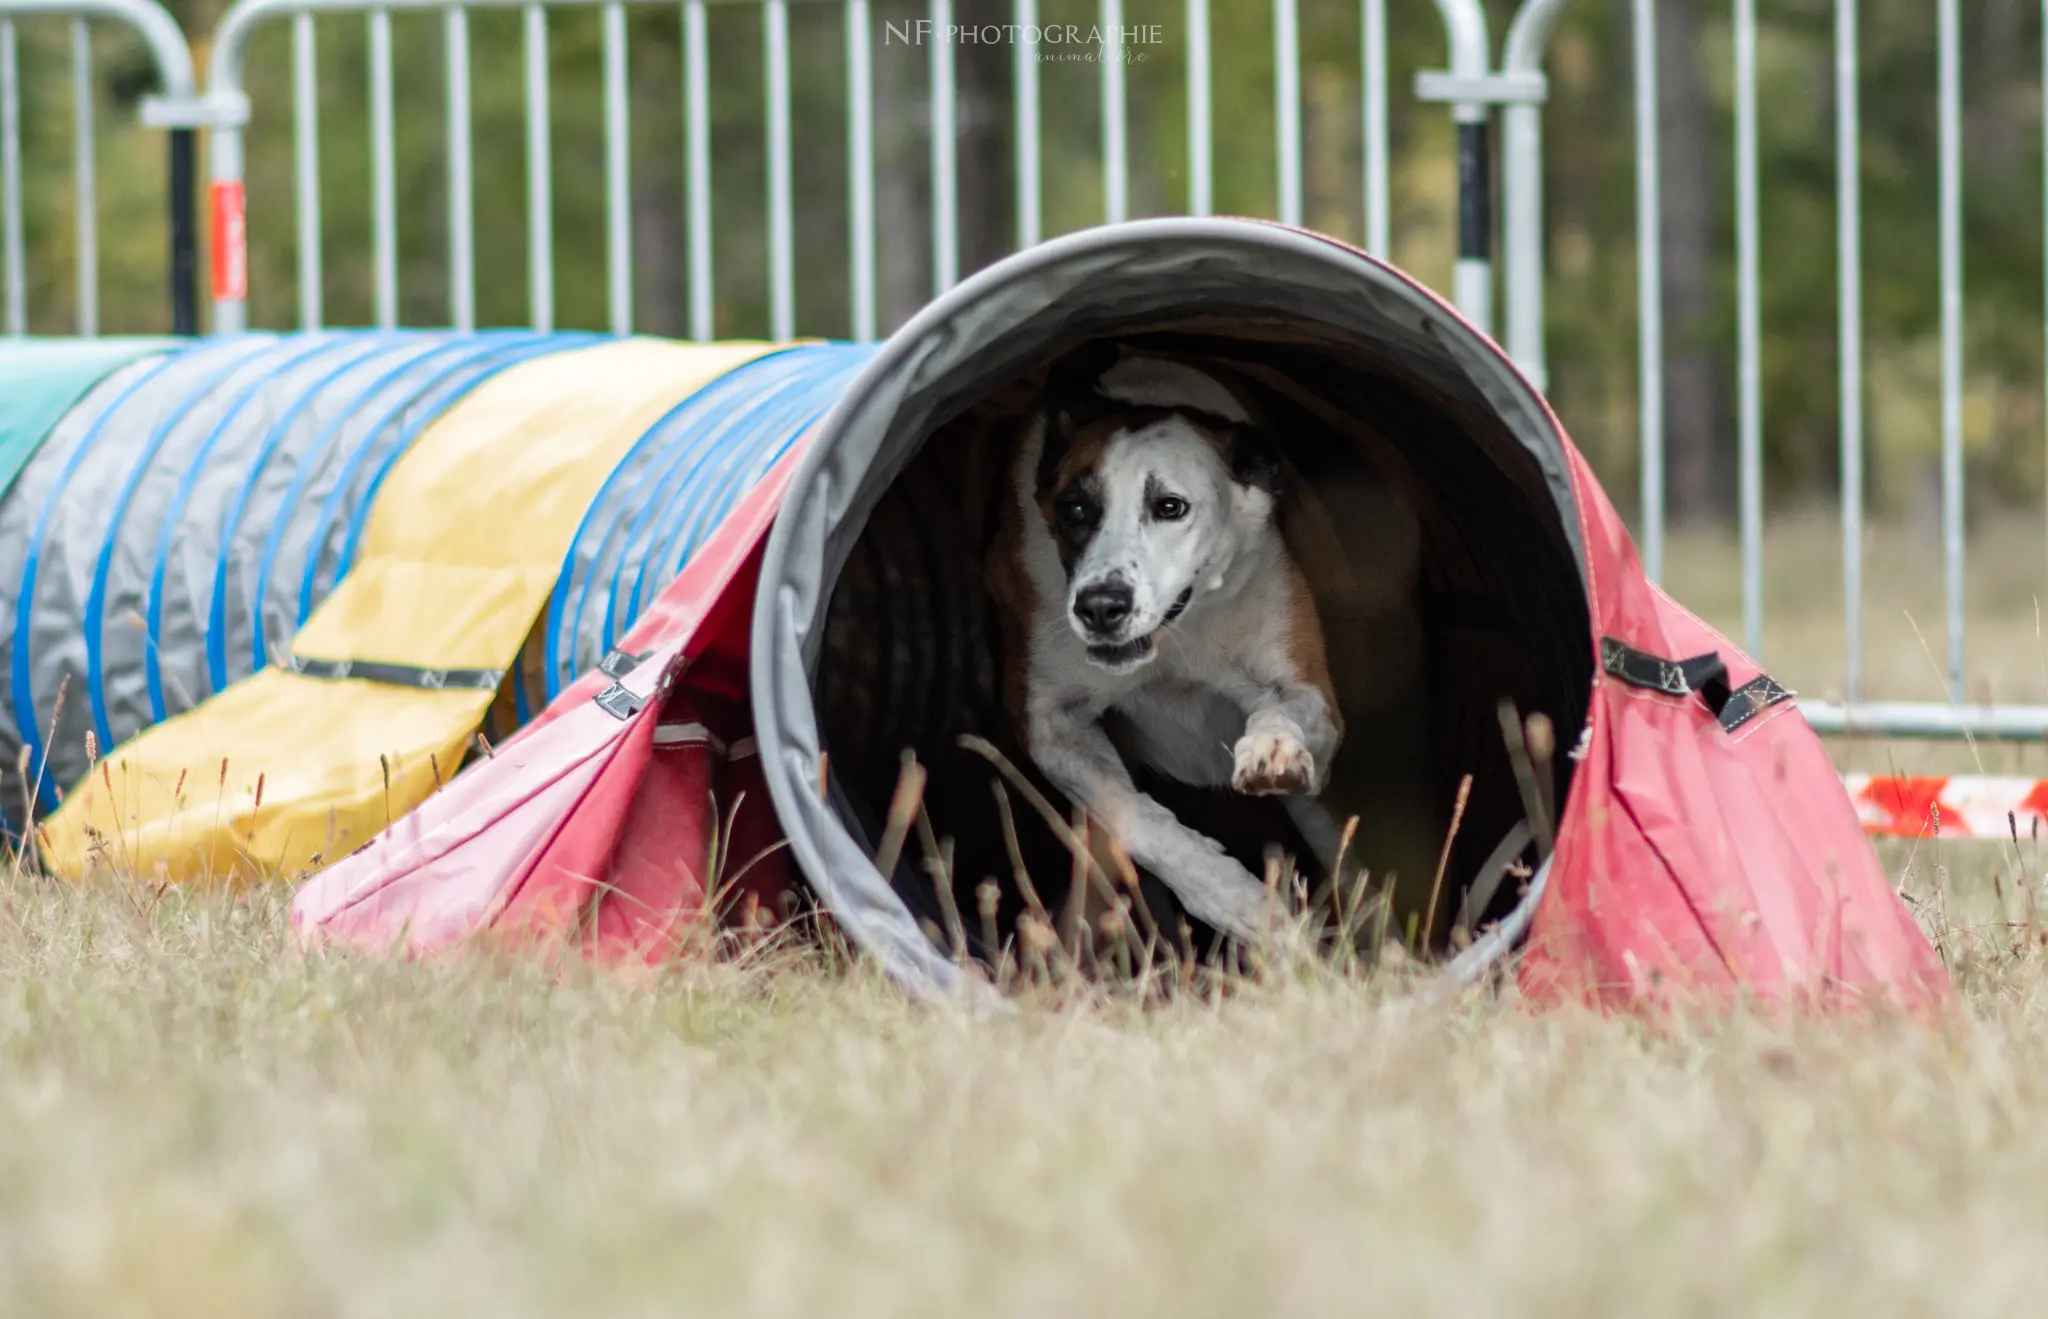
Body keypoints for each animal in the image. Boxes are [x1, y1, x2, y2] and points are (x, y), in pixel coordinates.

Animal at [987, 339, 1351, 938]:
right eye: (1075, 509)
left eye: (1170, 507)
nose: (1101, 606)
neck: (1177, 631)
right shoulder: (1050, 723)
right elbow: (1133, 815)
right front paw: (1243, 905)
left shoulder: (1308, 691)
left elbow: (1283, 711)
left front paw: (1271, 747)